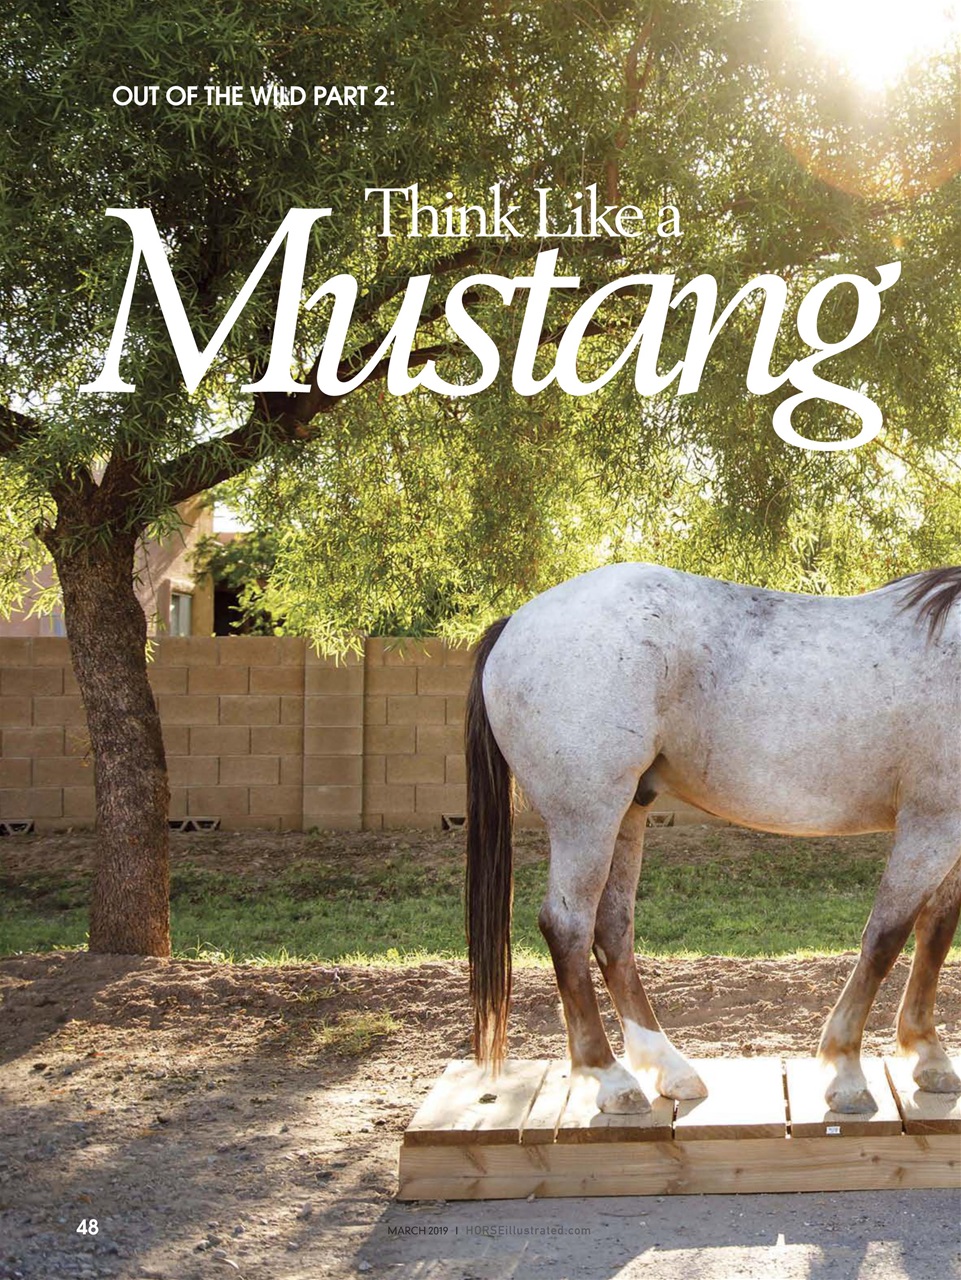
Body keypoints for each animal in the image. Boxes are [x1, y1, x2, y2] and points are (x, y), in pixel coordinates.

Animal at [464, 564, 961, 1115]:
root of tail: (514, 624)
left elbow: (937, 931)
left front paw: (929, 1055)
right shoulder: (932, 824)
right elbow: (886, 937)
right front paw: (846, 1069)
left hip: (627, 814)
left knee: (612, 931)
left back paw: (669, 1068)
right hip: (587, 818)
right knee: (567, 928)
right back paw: (611, 1079)